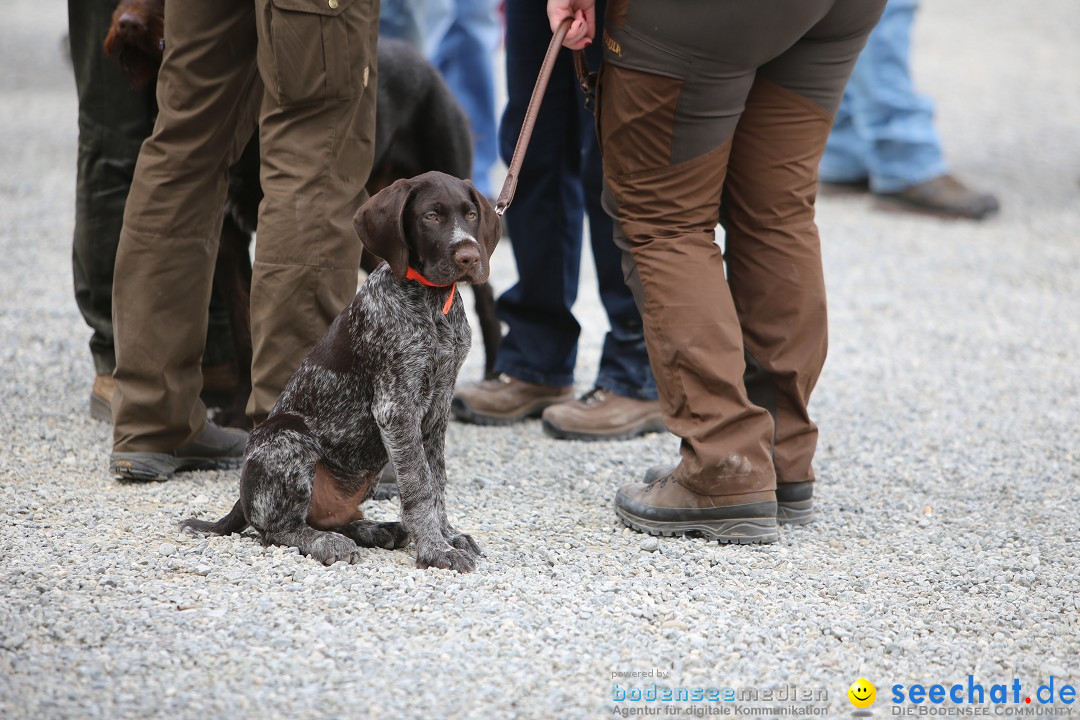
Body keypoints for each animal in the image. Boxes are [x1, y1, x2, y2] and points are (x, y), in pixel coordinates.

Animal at [182, 171, 501, 569]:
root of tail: (242, 495)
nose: (470, 255)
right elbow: (420, 485)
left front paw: (447, 535)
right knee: (276, 530)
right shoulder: (396, 408)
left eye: (470, 214)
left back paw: (379, 530)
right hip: (287, 439)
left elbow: (436, 479)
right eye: (431, 216)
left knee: (330, 518)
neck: (431, 301)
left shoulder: (437, 407)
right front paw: (434, 548)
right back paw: (325, 543)